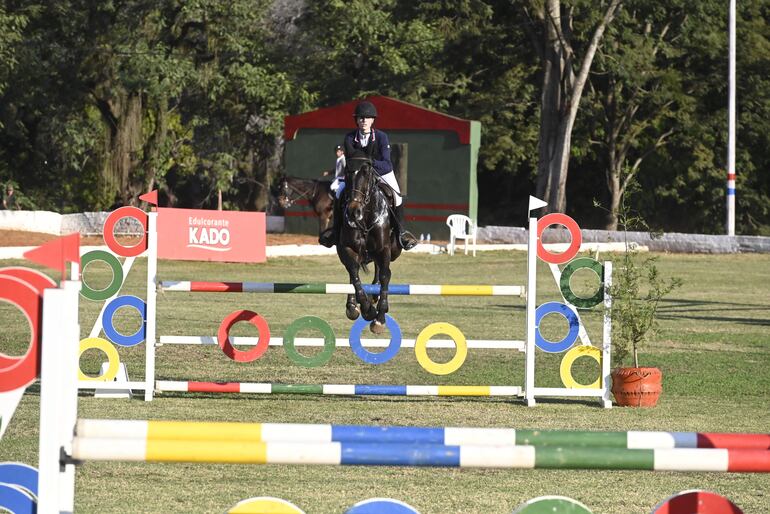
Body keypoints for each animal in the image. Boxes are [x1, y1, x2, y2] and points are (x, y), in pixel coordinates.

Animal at [334, 160, 400, 334]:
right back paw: (355, 304)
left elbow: (384, 275)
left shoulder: (384, 250)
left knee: (383, 271)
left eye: (367, 174)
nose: (353, 212)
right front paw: (366, 309)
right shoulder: (347, 249)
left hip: (392, 251)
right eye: (347, 173)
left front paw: (379, 319)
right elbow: (353, 273)